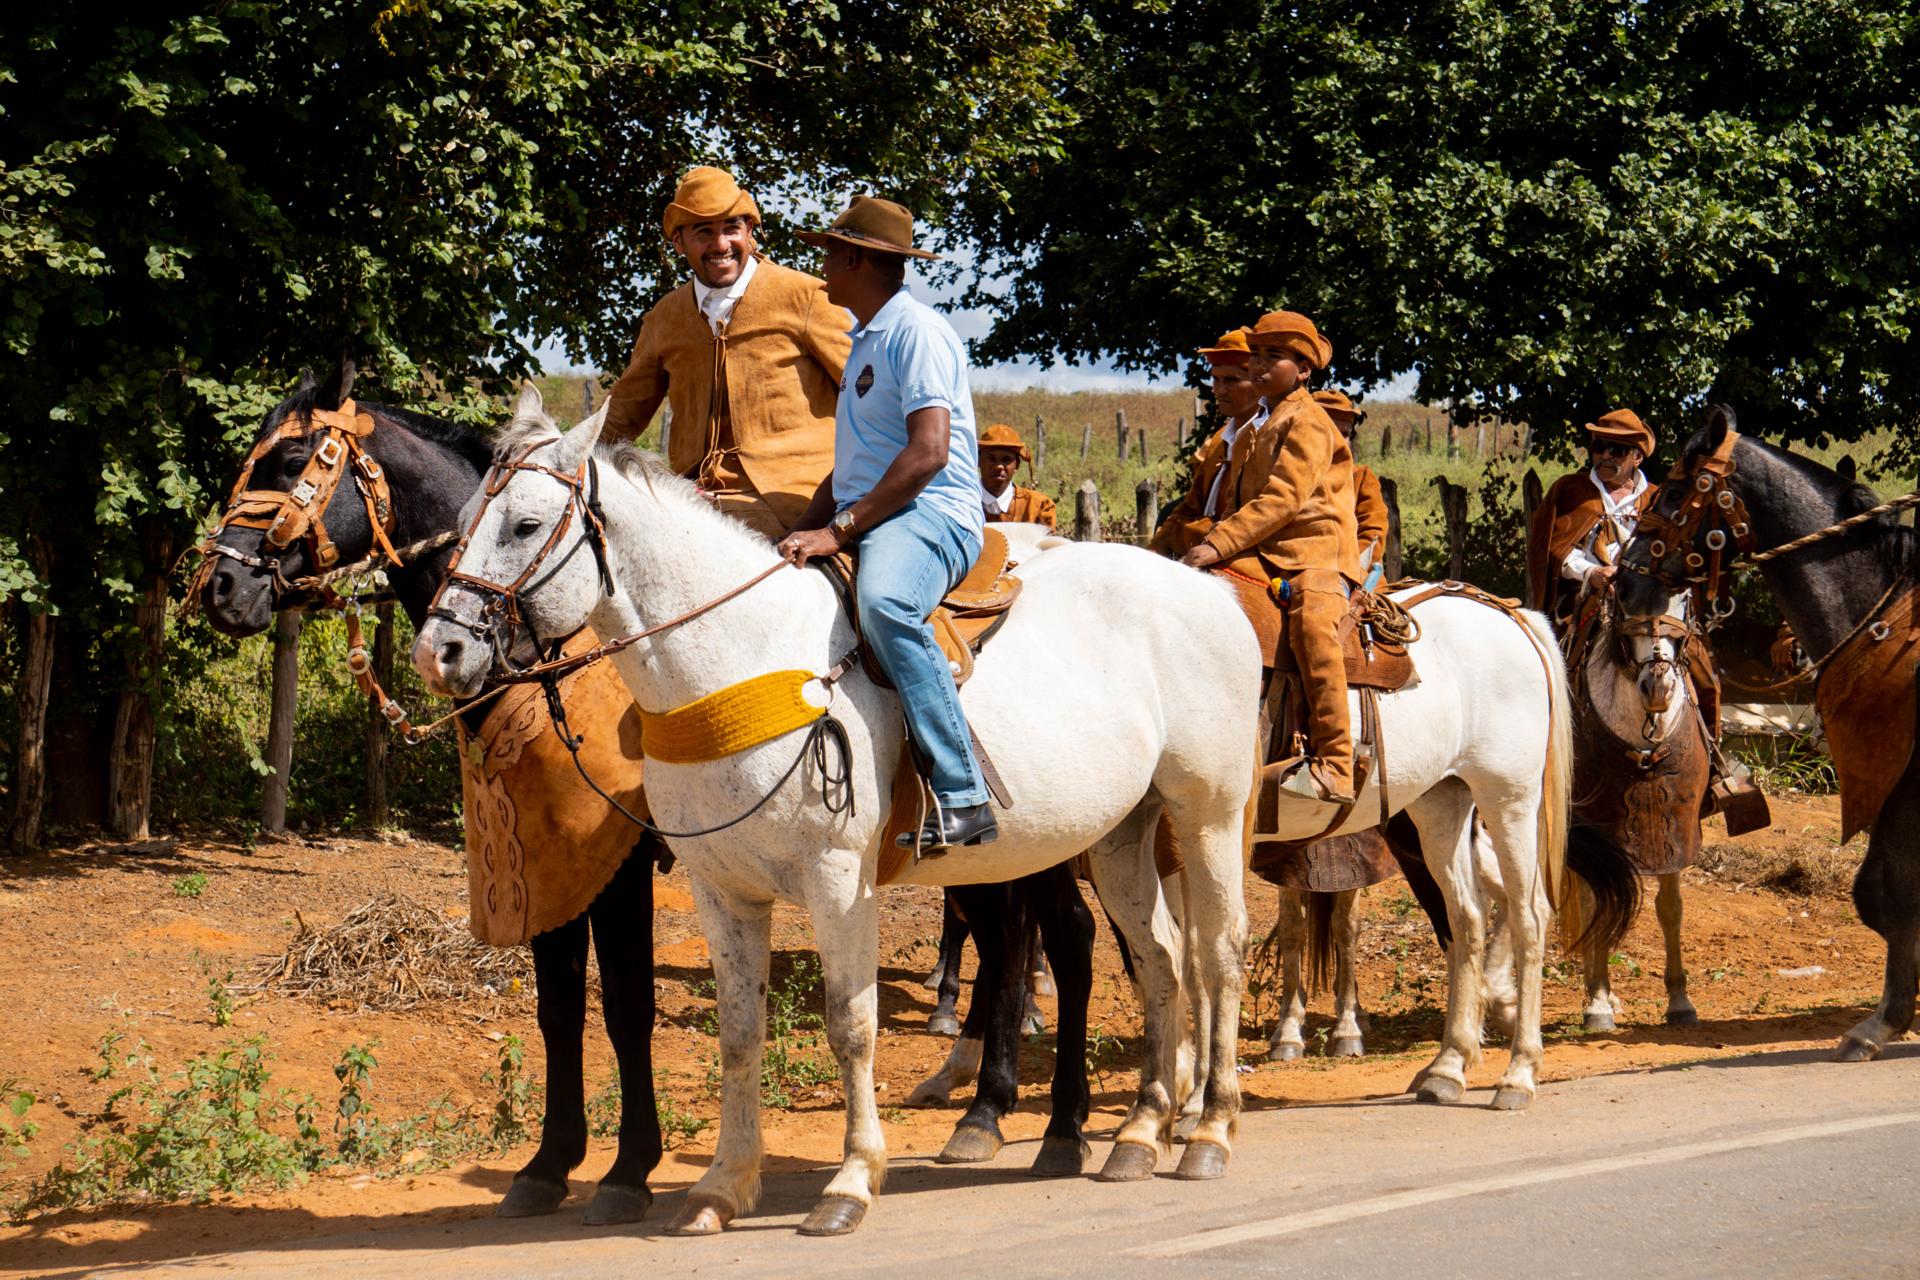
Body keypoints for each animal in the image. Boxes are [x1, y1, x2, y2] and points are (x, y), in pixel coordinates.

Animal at [195, 375, 664, 1225]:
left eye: (291, 462)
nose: (220, 585)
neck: (553, 657)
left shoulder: (620, 866)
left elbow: (625, 1006)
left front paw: (629, 1169)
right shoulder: (545, 863)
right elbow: (557, 1010)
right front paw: (549, 1163)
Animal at [413, 390, 1261, 1235]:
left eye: (525, 525)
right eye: (464, 523)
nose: (437, 652)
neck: (739, 657)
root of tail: (1211, 594)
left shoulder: (837, 880)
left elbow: (850, 1026)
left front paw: (851, 1179)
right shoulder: (722, 890)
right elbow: (738, 1032)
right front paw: (723, 1184)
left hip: (1205, 815)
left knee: (1213, 951)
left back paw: (1208, 1128)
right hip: (1120, 835)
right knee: (1157, 956)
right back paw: (1142, 1130)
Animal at [1617, 405, 1918, 1063]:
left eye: (1674, 491)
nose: (1626, 582)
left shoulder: (1902, 783)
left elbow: (1891, 890)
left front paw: (1882, 1024)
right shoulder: (1886, 782)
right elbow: (1882, 890)